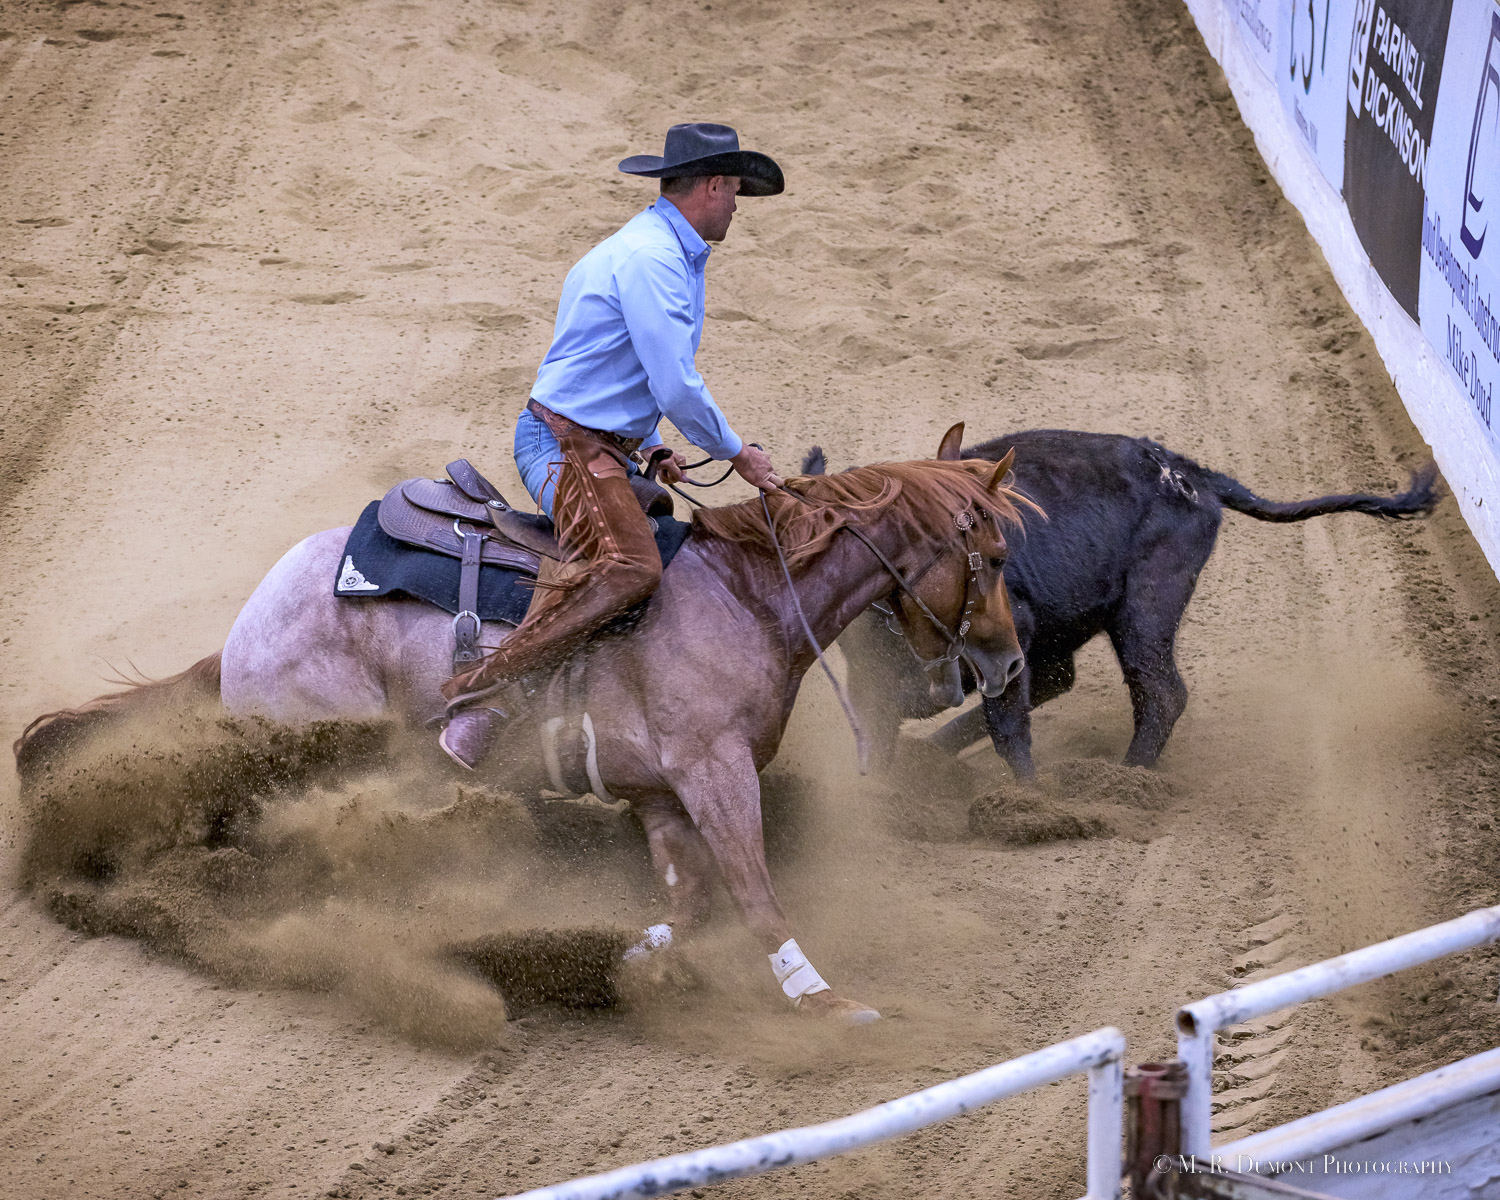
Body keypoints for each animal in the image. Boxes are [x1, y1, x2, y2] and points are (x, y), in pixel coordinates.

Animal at [14, 426, 1026, 1023]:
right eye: (995, 552)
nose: (1010, 664)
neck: (749, 595)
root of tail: (240, 633)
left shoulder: (660, 794)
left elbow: (690, 900)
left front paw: (617, 962)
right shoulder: (713, 769)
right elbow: (752, 886)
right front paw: (821, 999)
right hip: (305, 751)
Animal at [809, 430, 1438, 779]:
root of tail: (1191, 474)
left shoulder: (1011, 638)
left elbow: (1005, 722)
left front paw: (1032, 802)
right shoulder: (872, 672)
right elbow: (886, 721)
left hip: (1145, 610)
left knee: (1160, 692)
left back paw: (1128, 780)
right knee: (1062, 679)